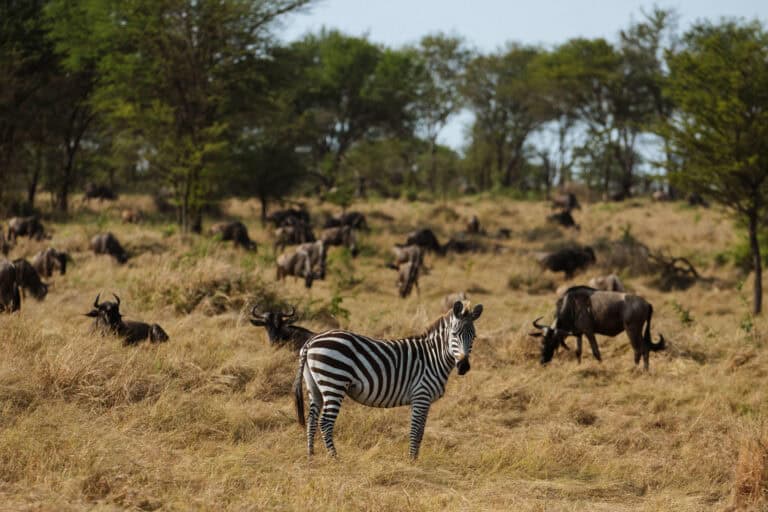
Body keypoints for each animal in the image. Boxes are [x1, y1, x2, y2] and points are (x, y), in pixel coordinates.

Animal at [292, 300, 484, 459]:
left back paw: (311, 455)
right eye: (454, 334)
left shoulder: (424, 400)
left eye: (473, 337)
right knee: (325, 422)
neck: (433, 356)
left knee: (312, 419)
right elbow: (415, 431)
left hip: (314, 385)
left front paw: (415, 459)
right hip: (334, 381)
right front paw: (412, 461)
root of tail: (312, 341)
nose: (464, 366)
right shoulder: (421, 395)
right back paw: (334, 458)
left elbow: (421, 431)